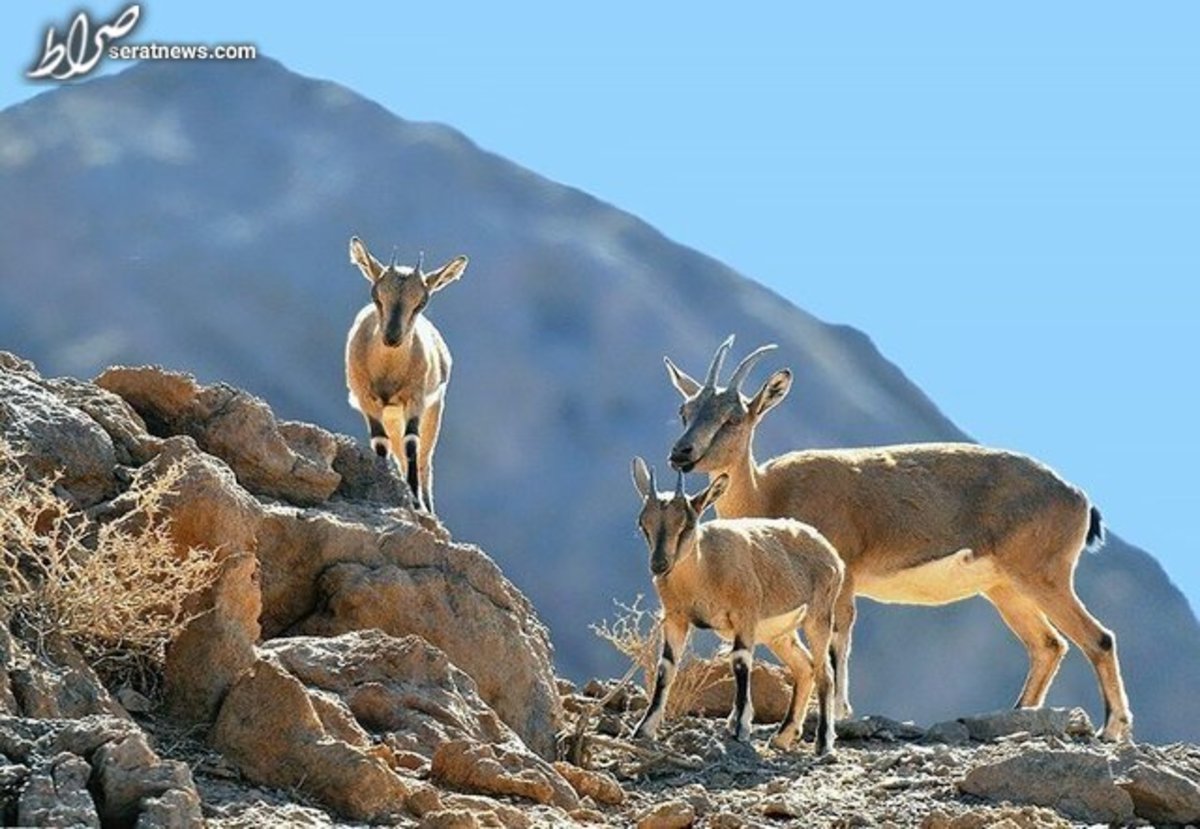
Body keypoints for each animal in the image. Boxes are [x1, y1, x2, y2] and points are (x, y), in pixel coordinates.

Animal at [345, 233, 465, 515]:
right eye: (376, 295)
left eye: (422, 302)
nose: (392, 337)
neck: (388, 373)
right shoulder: (366, 399)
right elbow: (380, 444)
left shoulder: (416, 399)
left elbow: (412, 443)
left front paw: (415, 501)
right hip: (392, 415)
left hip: (433, 409)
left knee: (424, 459)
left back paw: (427, 505)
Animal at [628, 458, 844, 753]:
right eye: (643, 524)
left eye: (686, 524)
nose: (659, 565)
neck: (704, 570)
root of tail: (832, 554)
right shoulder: (675, 618)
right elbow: (665, 668)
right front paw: (644, 728)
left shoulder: (745, 616)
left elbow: (740, 663)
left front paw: (740, 727)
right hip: (779, 633)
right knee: (804, 667)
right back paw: (783, 736)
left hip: (819, 617)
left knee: (825, 673)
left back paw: (823, 744)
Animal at [667, 338, 1132, 743]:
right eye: (685, 410)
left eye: (733, 418)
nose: (681, 453)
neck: (770, 492)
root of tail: (1079, 499)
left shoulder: (843, 577)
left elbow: (837, 640)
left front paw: (837, 715)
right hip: (1004, 588)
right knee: (1048, 645)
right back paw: (1020, 715)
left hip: (1042, 577)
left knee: (1099, 638)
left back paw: (1110, 729)